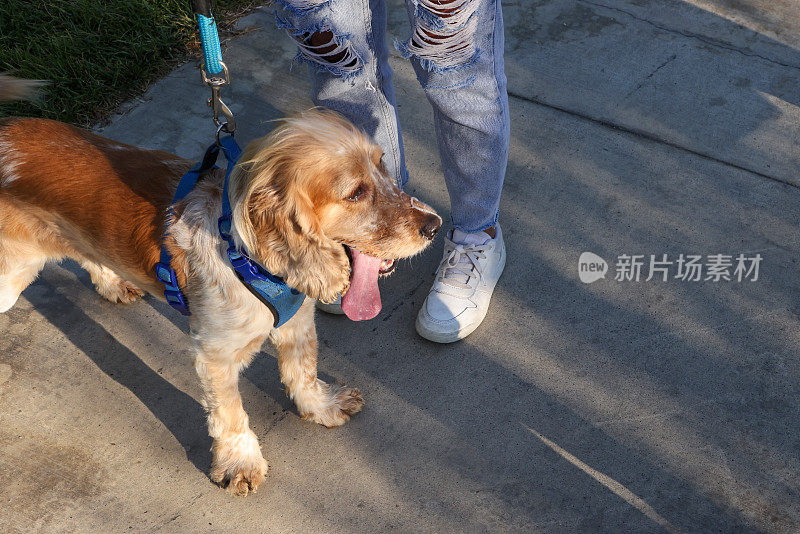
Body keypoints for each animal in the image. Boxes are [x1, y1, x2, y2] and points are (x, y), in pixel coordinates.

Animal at [0, 76, 444, 498]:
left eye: (383, 168)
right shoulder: (215, 355)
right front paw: (239, 464)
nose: (435, 225)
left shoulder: (298, 322)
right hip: (11, 273)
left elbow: (302, 371)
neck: (245, 253)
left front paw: (322, 406)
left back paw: (112, 282)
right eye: (356, 192)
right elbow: (230, 414)